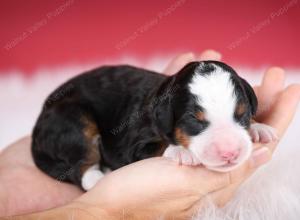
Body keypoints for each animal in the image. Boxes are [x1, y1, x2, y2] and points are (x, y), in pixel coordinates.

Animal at [31, 60, 276, 191]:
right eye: (193, 120)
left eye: (243, 115)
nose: (230, 153)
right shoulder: (133, 144)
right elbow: (158, 147)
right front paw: (181, 152)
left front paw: (259, 128)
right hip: (73, 120)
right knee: (82, 167)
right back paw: (100, 177)